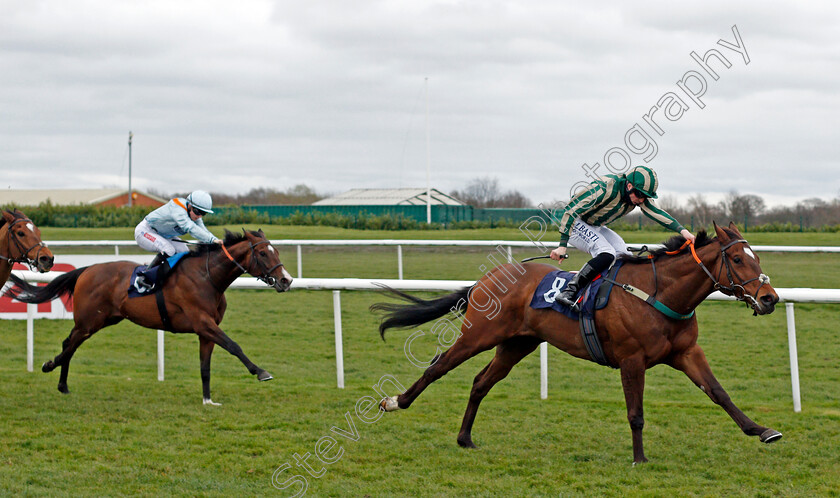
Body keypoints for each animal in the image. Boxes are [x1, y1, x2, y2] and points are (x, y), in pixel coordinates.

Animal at [6, 230, 292, 404]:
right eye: (263, 253)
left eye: (277, 251)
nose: (286, 280)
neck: (207, 277)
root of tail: (87, 270)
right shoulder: (203, 323)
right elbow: (234, 345)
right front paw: (261, 371)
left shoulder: (206, 330)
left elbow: (205, 366)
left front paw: (208, 400)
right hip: (89, 320)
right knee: (69, 345)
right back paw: (50, 366)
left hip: (103, 320)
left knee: (71, 345)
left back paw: (63, 385)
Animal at [372, 222, 780, 462]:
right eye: (738, 258)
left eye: (757, 257)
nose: (770, 298)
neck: (658, 291)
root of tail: (490, 277)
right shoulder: (632, 359)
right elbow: (636, 413)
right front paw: (640, 459)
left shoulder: (685, 352)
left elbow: (719, 393)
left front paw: (762, 430)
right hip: (479, 334)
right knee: (439, 365)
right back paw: (395, 402)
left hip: (517, 343)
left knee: (481, 382)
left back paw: (465, 439)